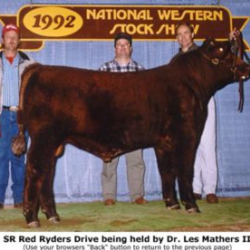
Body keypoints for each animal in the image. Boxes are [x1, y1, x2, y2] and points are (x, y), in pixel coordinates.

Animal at [11, 37, 250, 227]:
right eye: (224, 50)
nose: (246, 67)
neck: (193, 84)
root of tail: (39, 68)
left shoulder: (163, 142)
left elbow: (167, 171)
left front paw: (172, 204)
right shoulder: (187, 136)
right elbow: (184, 171)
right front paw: (191, 206)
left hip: (54, 143)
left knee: (47, 174)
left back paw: (53, 216)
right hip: (44, 138)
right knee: (35, 171)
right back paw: (32, 218)